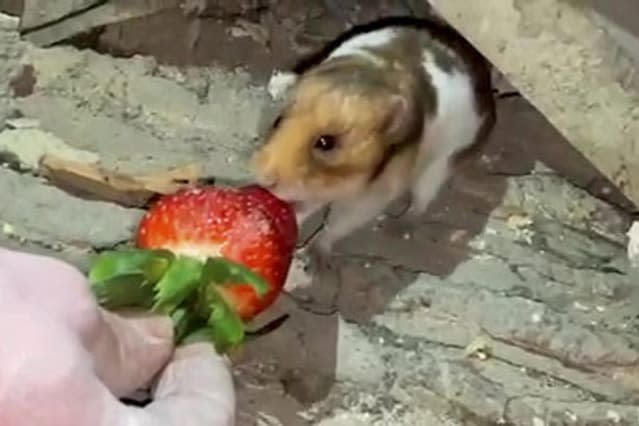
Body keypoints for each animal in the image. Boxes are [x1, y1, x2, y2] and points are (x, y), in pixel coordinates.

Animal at [252, 17, 498, 253]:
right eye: (278, 121)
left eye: (326, 143)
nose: (262, 177)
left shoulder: (371, 198)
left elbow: (336, 224)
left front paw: (310, 254)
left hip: (439, 167)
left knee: (421, 201)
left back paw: (396, 227)